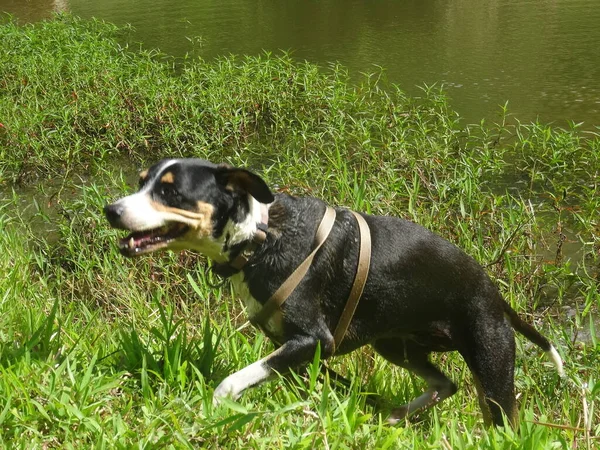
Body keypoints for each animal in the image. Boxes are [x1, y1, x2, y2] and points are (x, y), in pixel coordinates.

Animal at [104, 157, 564, 426]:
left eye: (169, 191)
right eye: (141, 183)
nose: (111, 210)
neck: (259, 237)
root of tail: (495, 294)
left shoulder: (311, 340)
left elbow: (232, 382)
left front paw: (212, 410)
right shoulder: (298, 349)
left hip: (491, 367)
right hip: (396, 346)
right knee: (445, 384)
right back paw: (396, 415)